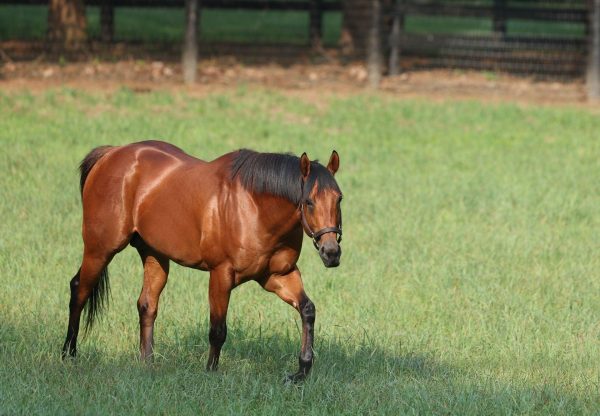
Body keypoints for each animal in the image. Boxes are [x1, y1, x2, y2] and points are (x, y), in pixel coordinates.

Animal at [61, 141, 344, 382]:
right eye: (308, 201)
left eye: (339, 198)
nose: (331, 252)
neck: (254, 207)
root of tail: (110, 154)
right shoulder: (221, 274)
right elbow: (217, 330)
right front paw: (210, 372)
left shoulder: (278, 276)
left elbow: (307, 310)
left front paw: (301, 371)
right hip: (100, 249)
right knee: (79, 291)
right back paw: (68, 355)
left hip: (154, 255)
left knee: (147, 304)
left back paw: (147, 363)